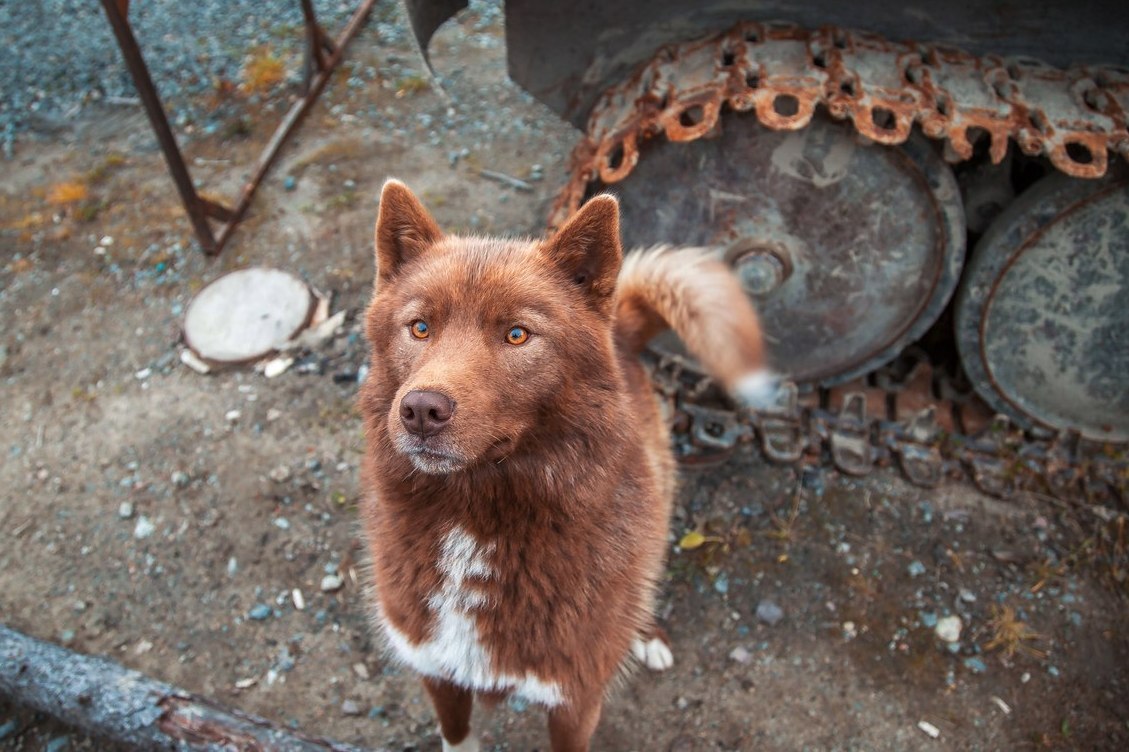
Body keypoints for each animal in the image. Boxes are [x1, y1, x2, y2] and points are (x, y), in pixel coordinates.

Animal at [356, 178, 772, 745]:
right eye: (419, 328)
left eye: (517, 334)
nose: (421, 410)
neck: (473, 521)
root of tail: (622, 331)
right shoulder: (437, 671)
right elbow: (457, 736)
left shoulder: (575, 700)